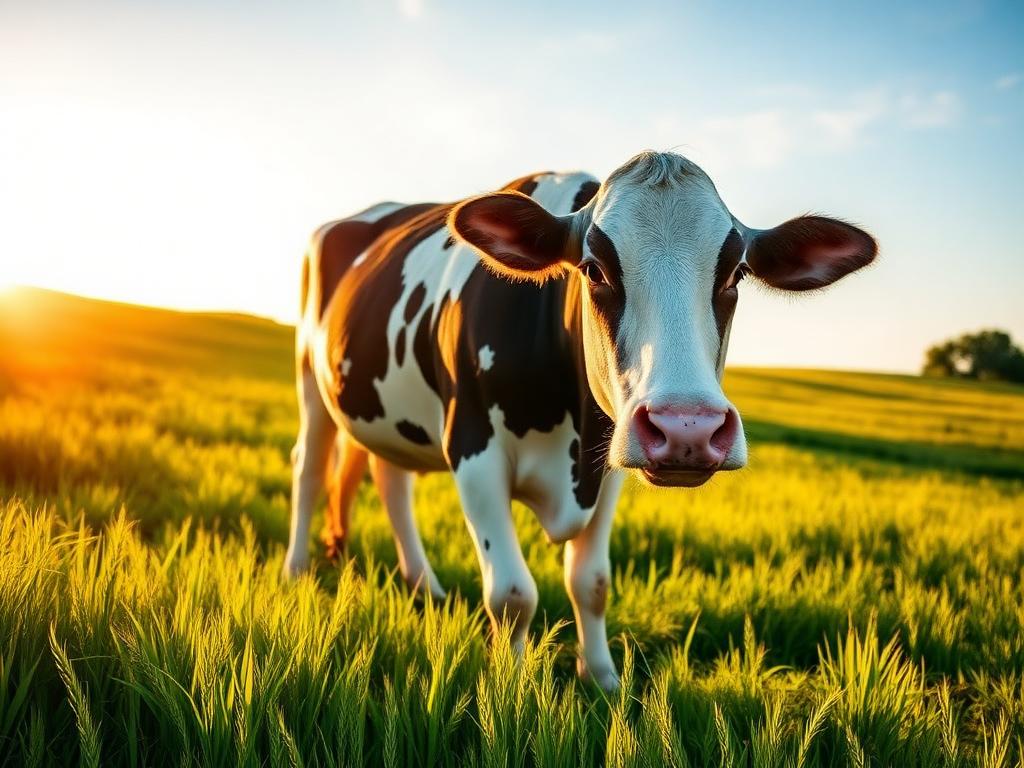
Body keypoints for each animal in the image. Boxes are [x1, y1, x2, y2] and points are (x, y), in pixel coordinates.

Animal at [283, 151, 876, 690]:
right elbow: (513, 594)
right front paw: (511, 690)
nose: (687, 429)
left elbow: (591, 582)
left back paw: (424, 585)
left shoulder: (608, 466)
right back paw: (296, 570)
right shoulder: (474, 451)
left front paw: (603, 678)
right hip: (310, 375)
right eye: (594, 270)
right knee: (309, 469)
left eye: (736, 273)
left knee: (389, 476)